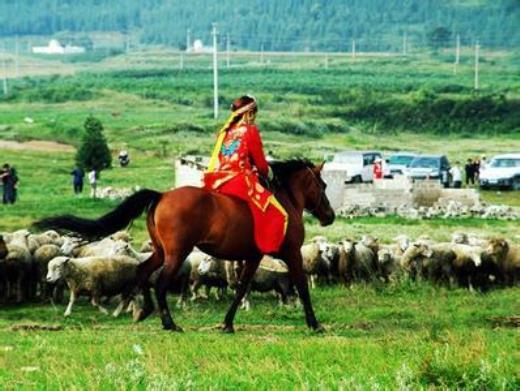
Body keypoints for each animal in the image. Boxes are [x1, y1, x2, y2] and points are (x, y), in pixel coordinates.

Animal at [37, 161, 338, 332]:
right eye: (322, 185)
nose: (330, 216)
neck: (285, 201)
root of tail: (161, 196)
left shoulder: (253, 257)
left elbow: (242, 288)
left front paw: (227, 324)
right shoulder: (291, 254)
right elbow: (301, 286)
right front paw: (315, 324)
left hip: (161, 251)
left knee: (144, 272)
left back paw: (144, 311)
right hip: (177, 253)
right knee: (159, 283)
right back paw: (169, 323)